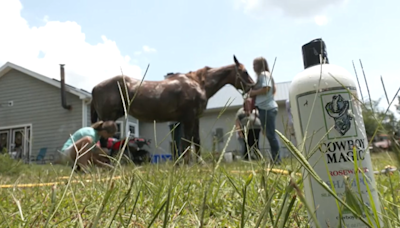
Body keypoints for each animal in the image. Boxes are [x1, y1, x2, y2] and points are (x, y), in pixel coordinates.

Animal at [90, 54, 253, 164]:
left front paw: (199, 162)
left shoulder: (194, 118)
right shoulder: (188, 118)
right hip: (108, 118)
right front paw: (187, 163)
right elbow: (187, 141)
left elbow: (195, 140)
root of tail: (95, 88)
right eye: (245, 72)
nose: (252, 86)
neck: (198, 83)